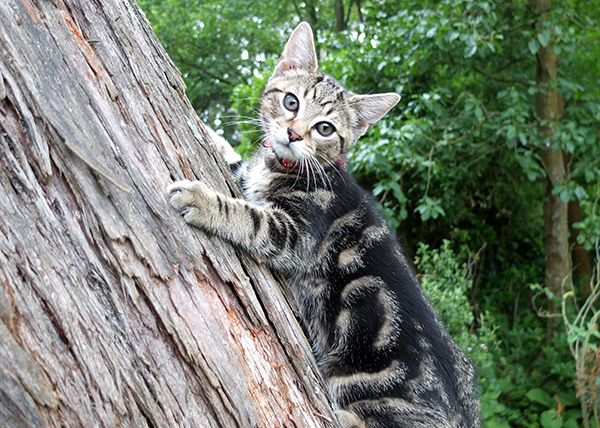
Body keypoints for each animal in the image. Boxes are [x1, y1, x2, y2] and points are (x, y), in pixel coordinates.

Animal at [168, 22, 482, 428]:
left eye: (325, 128)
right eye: (291, 102)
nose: (293, 134)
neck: (284, 167)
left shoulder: (294, 234)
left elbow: (248, 216)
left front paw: (202, 199)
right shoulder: (251, 178)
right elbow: (235, 164)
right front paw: (209, 132)